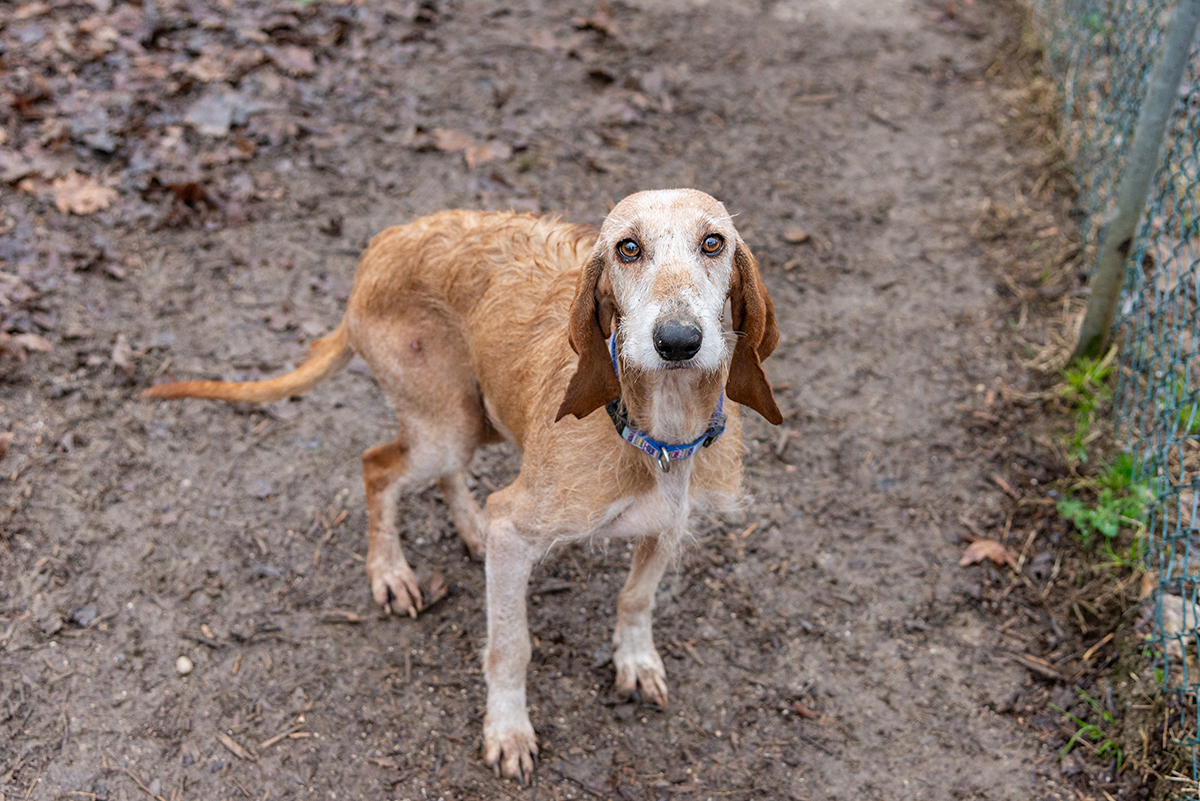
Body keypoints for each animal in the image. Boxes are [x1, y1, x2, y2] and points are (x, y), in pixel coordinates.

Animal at [145, 189, 782, 781]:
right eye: (629, 248)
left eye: (714, 243)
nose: (677, 340)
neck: (657, 432)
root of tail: (384, 244)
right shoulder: (517, 533)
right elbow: (511, 647)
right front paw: (507, 729)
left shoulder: (666, 527)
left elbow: (636, 597)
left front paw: (636, 660)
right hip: (446, 427)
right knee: (377, 465)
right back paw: (391, 572)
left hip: (477, 418)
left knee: (440, 476)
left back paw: (470, 529)